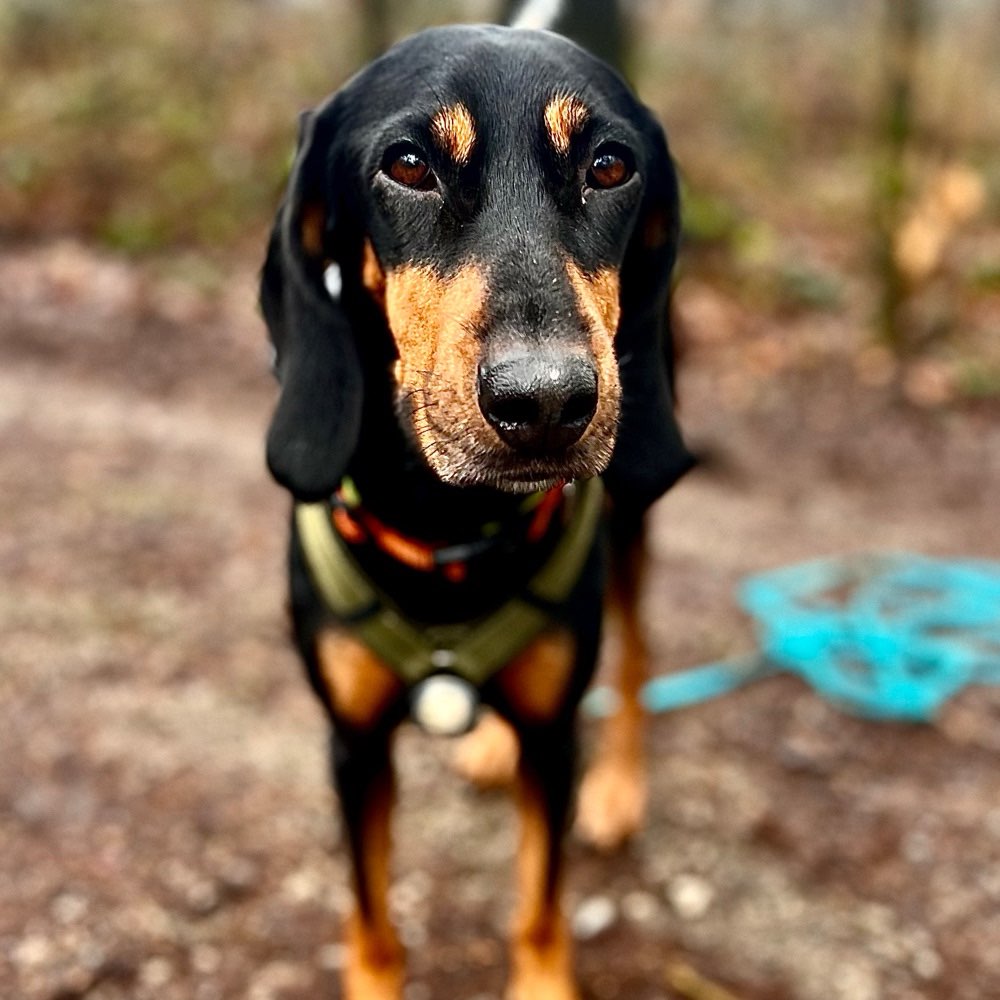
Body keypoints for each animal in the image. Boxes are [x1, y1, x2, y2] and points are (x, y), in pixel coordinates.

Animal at [262, 23, 692, 1000]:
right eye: (408, 165)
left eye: (610, 166)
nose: (545, 403)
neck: (450, 533)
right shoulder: (353, 745)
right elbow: (373, 919)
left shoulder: (556, 741)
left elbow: (540, 901)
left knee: (640, 648)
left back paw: (622, 785)